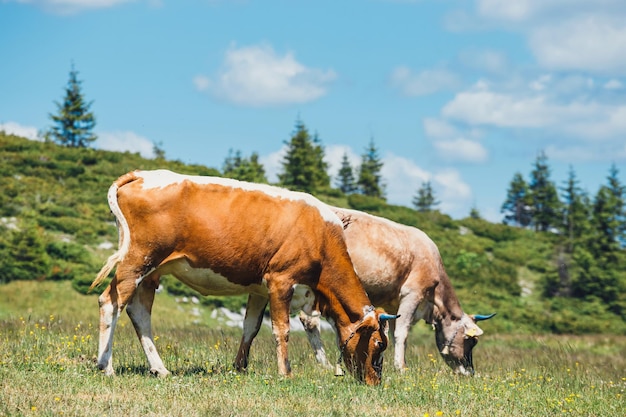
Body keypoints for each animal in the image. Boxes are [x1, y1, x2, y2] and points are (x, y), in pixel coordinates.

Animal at [89, 171, 394, 386]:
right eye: (379, 344)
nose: (375, 382)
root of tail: (142, 174)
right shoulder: (281, 280)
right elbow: (281, 329)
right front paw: (285, 373)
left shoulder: (259, 289)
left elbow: (251, 327)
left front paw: (239, 367)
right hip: (138, 258)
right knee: (110, 302)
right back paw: (106, 366)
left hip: (152, 270)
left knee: (139, 311)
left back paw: (159, 368)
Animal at [234, 206, 492, 376]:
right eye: (471, 341)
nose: (470, 372)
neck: (433, 302)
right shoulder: (412, 293)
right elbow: (403, 333)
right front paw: (402, 367)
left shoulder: (393, 304)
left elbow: (393, 330)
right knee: (311, 322)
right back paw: (326, 363)